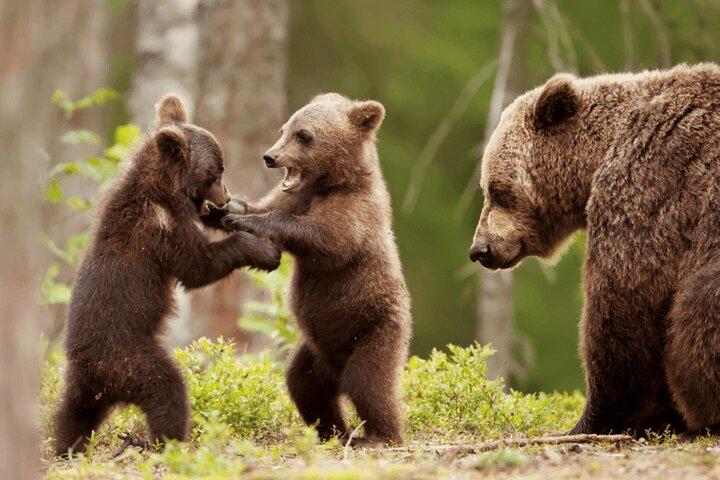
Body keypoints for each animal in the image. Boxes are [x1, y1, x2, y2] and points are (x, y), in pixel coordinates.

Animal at [53, 94, 281, 456]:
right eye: (216, 171)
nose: (226, 196)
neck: (164, 191)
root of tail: (95, 372)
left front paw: (236, 213)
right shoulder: (160, 230)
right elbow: (197, 266)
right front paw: (262, 250)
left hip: (84, 384)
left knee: (72, 413)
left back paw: (65, 446)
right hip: (129, 358)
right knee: (167, 389)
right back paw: (163, 440)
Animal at [220, 93, 412, 446]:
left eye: (304, 135)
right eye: (284, 128)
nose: (270, 156)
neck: (331, 183)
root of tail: (336, 368)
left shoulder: (356, 212)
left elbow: (327, 239)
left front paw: (246, 220)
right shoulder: (295, 195)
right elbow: (269, 205)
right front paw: (232, 206)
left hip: (375, 329)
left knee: (369, 383)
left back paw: (379, 435)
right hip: (315, 351)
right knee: (305, 385)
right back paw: (333, 431)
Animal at [469, 63, 720, 436]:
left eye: (498, 190)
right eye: (488, 187)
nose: (480, 249)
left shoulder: (652, 184)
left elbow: (623, 302)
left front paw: (594, 418)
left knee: (698, 306)